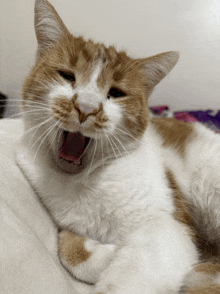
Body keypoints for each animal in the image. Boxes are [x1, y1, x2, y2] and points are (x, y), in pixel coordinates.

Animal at [16, 0, 220, 294]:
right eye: (67, 76)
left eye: (116, 93)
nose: (86, 108)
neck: (84, 182)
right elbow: (69, 250)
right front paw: (106, 254)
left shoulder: (167, 229)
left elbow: (128, 278)